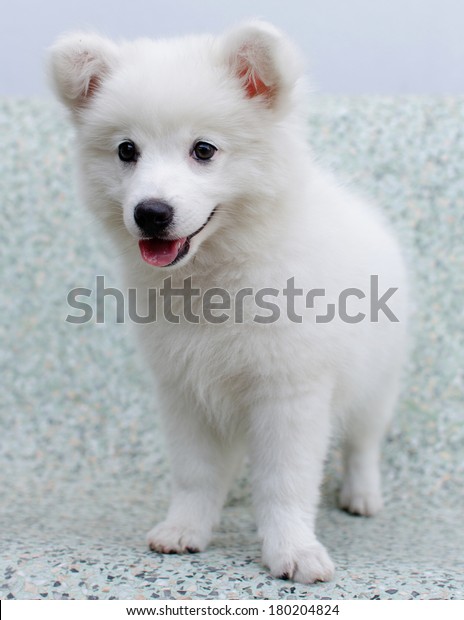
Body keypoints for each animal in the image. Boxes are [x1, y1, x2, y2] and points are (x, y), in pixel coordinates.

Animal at [49, 21, 408, 584]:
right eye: (127, 150)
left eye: (203, 150)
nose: (150, 212)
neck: (215, 276)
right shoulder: (183, 388)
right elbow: (195, 473)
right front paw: (185, 529)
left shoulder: (290, 391)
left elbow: (285, 480)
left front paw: (293, 551)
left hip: (378, 378)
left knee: (363, 441)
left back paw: (362, 494)